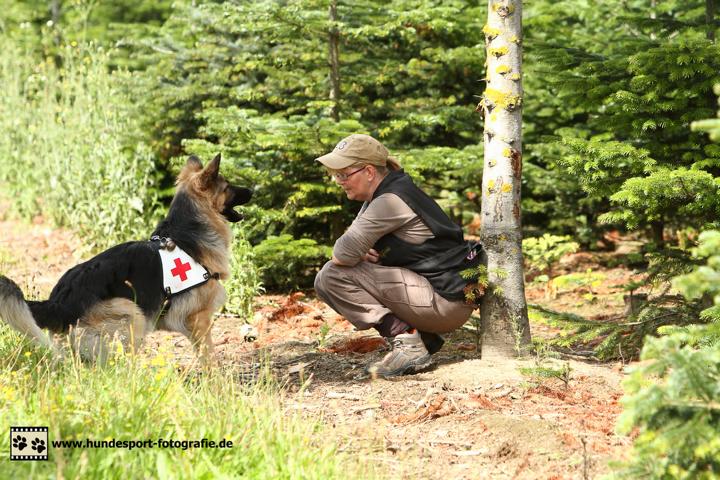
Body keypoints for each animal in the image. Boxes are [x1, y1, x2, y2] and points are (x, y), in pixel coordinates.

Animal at [0, 154, 253, 364]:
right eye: (228, 186)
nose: (253, 189)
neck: (189, 233)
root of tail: (59, 301)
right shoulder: (199, 320)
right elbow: (210, 360)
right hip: (132, 314)